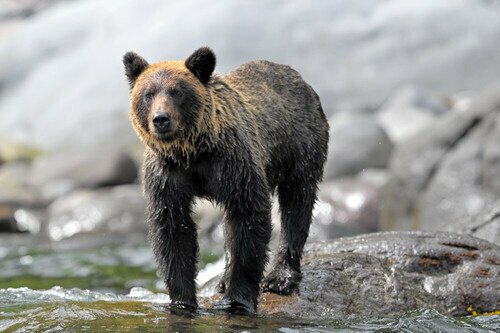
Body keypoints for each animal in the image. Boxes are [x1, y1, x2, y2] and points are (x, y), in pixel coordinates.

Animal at [123, 46, 330, 312]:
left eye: (177, 91)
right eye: (148, 94)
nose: (160, 119)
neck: (193, 152)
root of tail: (298, 77)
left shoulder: (234, 163)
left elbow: (248, 219)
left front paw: (238, 300)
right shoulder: (167, 175)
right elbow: (173, 230)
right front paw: (182, 301)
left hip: (299, 146)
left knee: (297, 203)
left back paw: (281, 276)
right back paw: (222, 279)